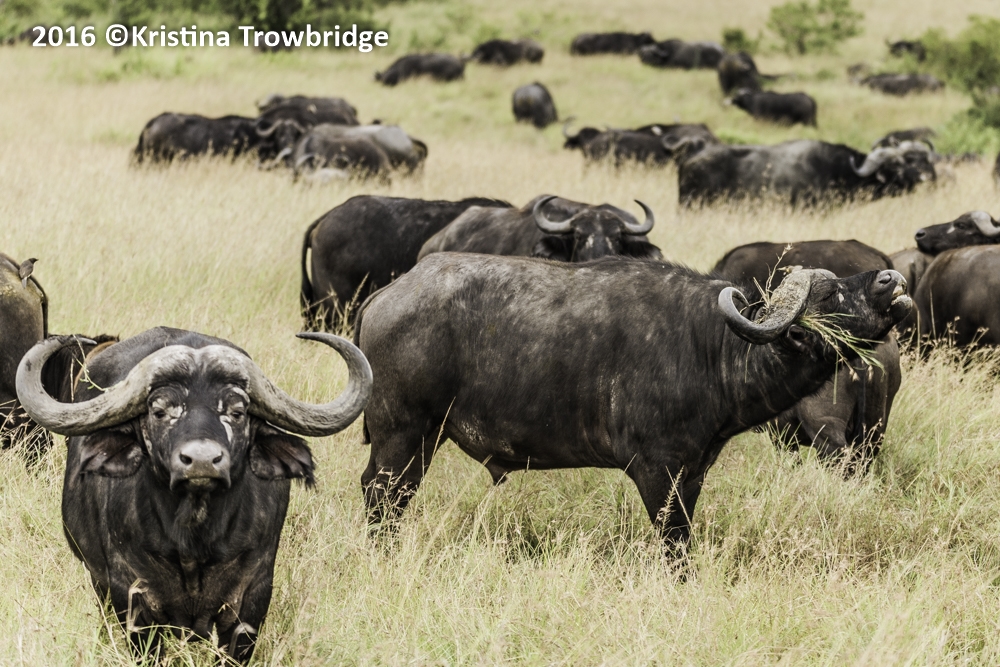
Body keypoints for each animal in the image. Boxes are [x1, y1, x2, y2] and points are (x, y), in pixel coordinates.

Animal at [15, 327, 373, 662]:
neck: (193, 540)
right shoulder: (130, 594)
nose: (202, 460)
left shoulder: (252, 596)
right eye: (160, 411)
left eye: (237, 412)